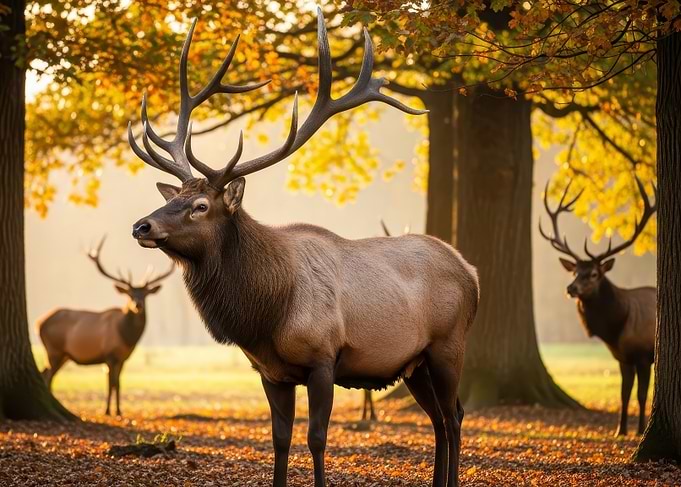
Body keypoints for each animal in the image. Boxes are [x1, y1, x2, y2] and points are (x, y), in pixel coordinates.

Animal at [37, 238, 174, 416]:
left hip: (64, 355)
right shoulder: (109, 355)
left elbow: (118, 383)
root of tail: (38, 322)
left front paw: (119, 411)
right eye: (130, 294)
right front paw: (108, 411)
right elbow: (111, 383)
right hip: (53, 349)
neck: (126, 337)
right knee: (47, 375)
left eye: (145, 294)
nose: (138, 305)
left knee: (45, 373)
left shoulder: (122, 358)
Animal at [126, 10, 478, 487]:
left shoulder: (323, 359)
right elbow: (279, 440)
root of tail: (472, 274)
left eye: (200, 206)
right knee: (439, 419)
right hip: (415, 362)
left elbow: (316, 439)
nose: (141, 225)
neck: (266, 314)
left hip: (448, 345)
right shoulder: (271, 373)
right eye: (172, 197)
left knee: (455, 416)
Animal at [539, 175, 656, 436]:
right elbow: (624, 394)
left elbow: (642, 395)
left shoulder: (644, 354)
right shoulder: (623, 357)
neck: (618, 328)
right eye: (574, 271)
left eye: (593, 273)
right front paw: (620, 430)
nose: (570, 288)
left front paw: (640, 430)